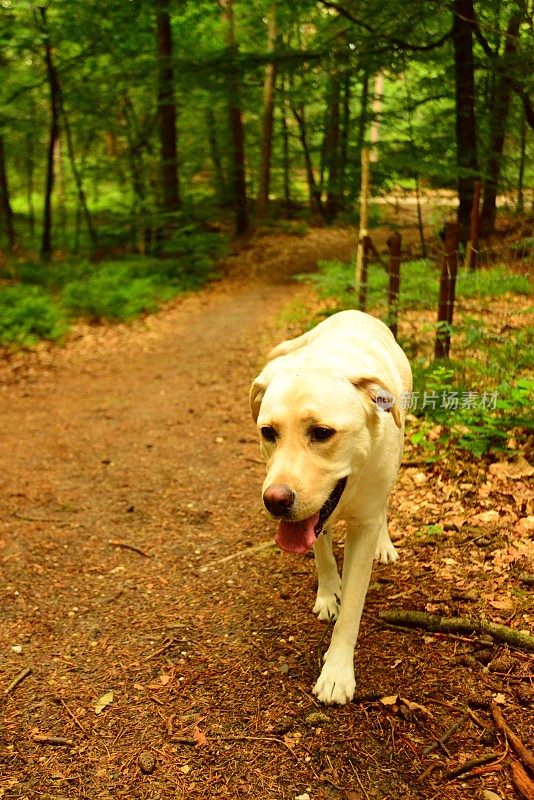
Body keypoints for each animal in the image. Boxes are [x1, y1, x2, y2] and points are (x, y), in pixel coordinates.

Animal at [251, 310, 414, 704]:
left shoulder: (364, 523)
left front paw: (337, 672)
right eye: (268, 432)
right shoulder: (314, 511)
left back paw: (385, 545)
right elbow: (322, 554)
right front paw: (328, 594)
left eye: (322, 433)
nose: (275, 500)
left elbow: (352, 607)